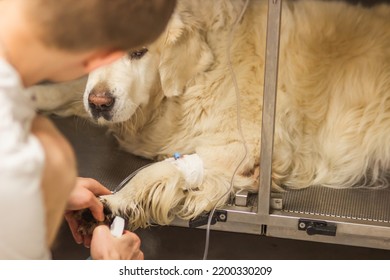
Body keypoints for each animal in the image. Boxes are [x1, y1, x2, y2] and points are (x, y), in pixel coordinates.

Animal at [32, 0, 390, 230]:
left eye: (139, 52)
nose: (100, 103)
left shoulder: (251, 143)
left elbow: (162, 168)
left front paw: (122, 198)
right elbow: (70, 88)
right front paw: (33, 94)